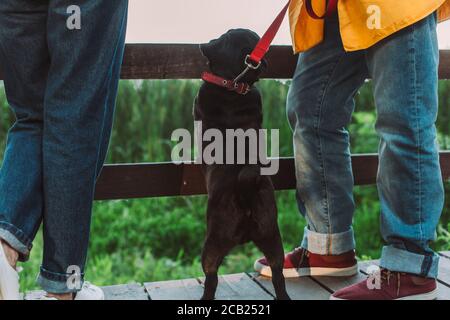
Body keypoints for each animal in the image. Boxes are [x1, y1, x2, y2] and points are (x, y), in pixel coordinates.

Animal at [195, 29, 290, 300]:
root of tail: (245, 191)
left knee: (212, 277)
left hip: (212, 245)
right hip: (272, 237)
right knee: (278, 275)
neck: (232, 86)